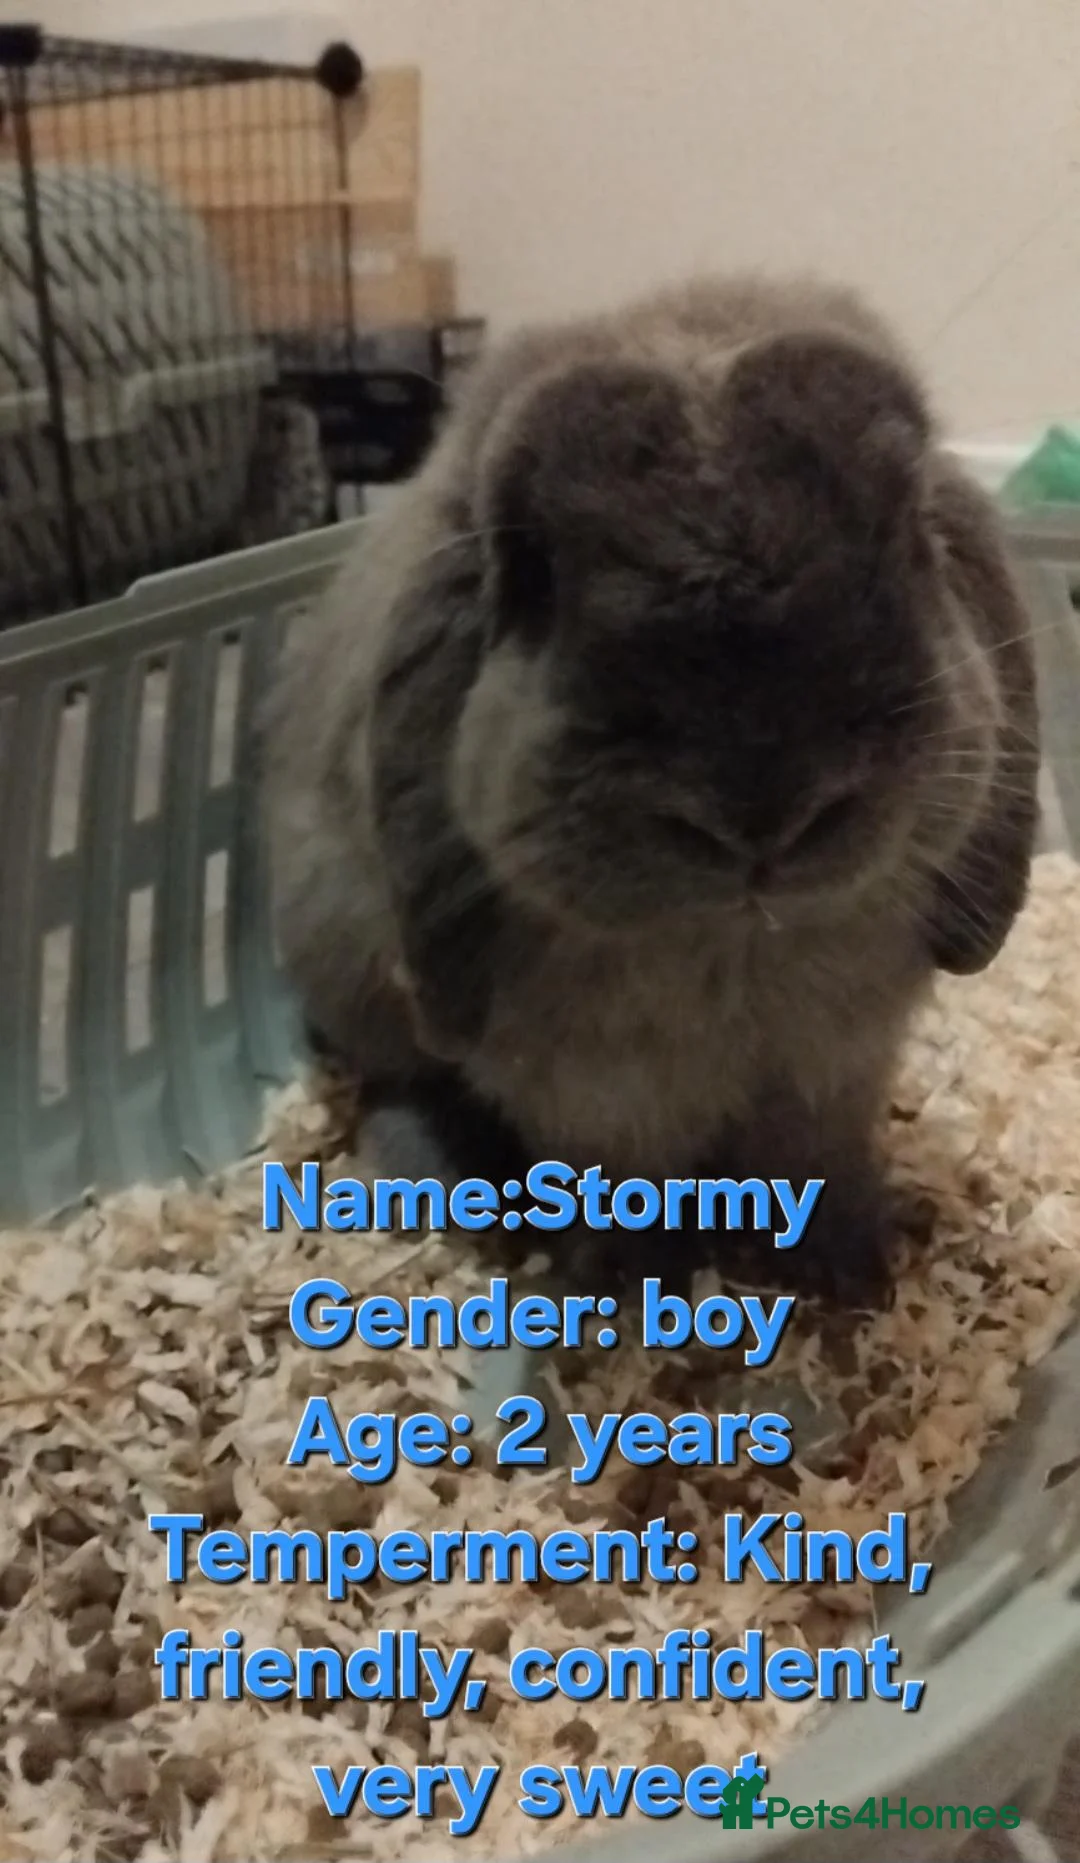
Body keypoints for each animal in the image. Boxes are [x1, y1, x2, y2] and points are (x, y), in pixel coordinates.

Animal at [260, 271, 1040, 1308]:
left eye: (912, 526)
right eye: (532, 567)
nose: (760, 818)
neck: (735, 948)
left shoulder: (837, 1069)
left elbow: (819, 1162)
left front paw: (852, 1268)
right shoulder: (593, 1097)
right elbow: (626, 1177)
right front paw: (634, 1280)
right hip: (353, 973)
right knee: (400, 1079)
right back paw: (427, 1166)